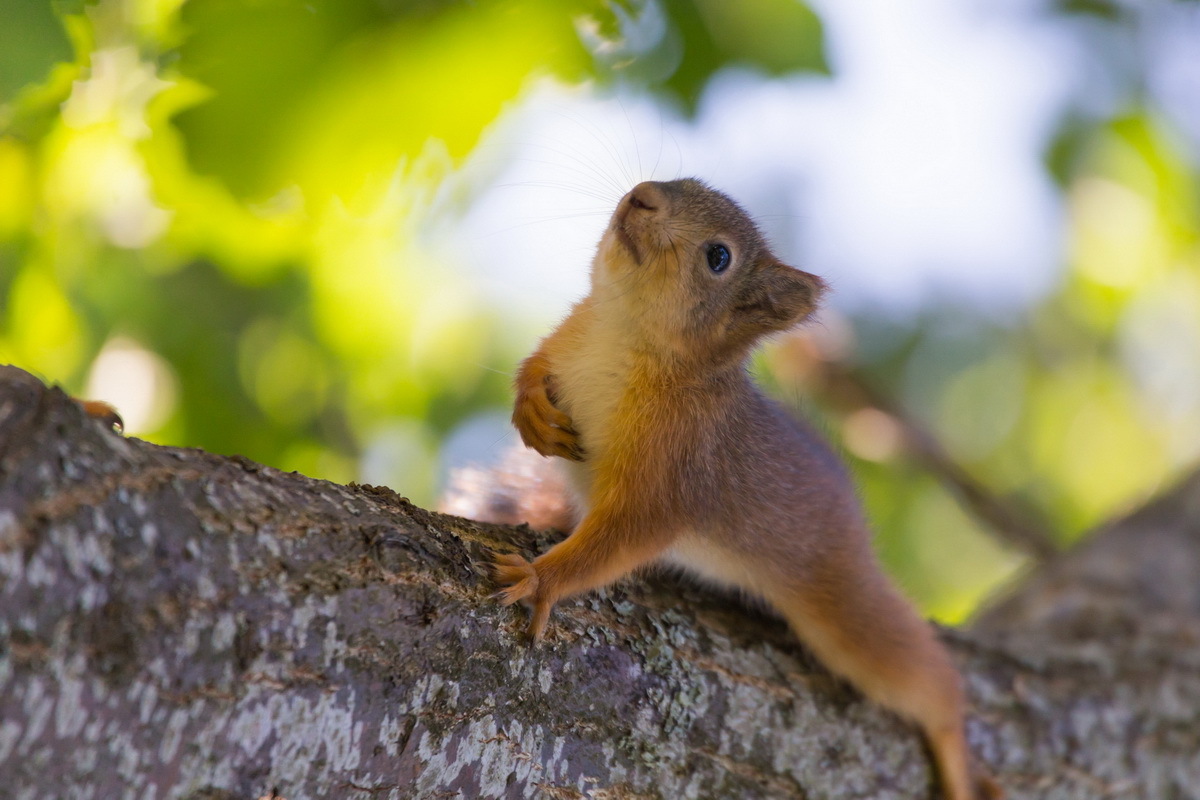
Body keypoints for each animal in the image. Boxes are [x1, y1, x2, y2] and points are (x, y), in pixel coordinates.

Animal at [482, 181, 998, 800]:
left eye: (719, 257)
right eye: (683, 180)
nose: (642, 195)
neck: (621, 334)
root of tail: (849, 508)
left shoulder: (674, 470)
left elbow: (623, 539)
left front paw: (542, 581)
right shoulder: (568, 339)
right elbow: (533, 366)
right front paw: (531, 409)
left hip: (839, 597)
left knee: (920, 674)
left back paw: (955, 748)